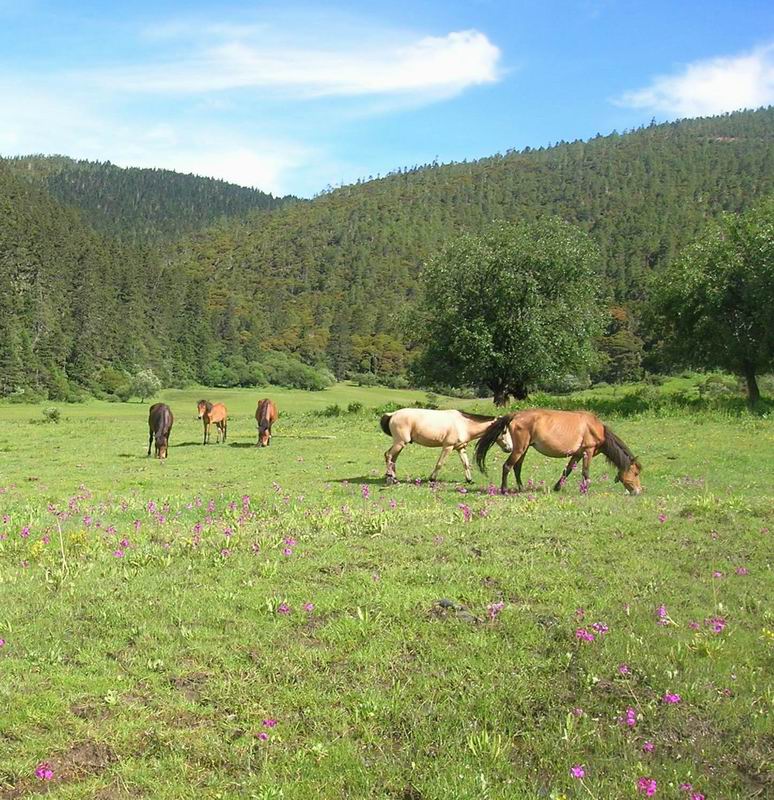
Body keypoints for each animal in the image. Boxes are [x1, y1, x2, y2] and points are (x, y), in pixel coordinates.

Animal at [382, 410, 516, 484]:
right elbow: (440, 464)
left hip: (400, 444)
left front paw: (469, 480)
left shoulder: (460, 448)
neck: (463, 424)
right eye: (504, 431)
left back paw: (394, 478)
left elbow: (466, 464)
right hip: (400, 443)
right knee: (388, 455)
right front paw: (432, 479)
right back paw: (389, 478)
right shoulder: (448, 447)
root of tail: (393, 414)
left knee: (393, 459)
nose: (509, 448)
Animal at [476, 412, 644, 494]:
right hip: (520, 449)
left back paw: (521, 489)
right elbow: (585, 473)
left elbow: (567, 471)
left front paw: (557, 487)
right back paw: (504, 490)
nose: (638, 491)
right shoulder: (587, 452)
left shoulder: (577, 454)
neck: (594, 427)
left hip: (524, 449)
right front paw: (585, 490)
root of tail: (515, 415)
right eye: (636, 473)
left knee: (517, 467)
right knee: (507, 466)